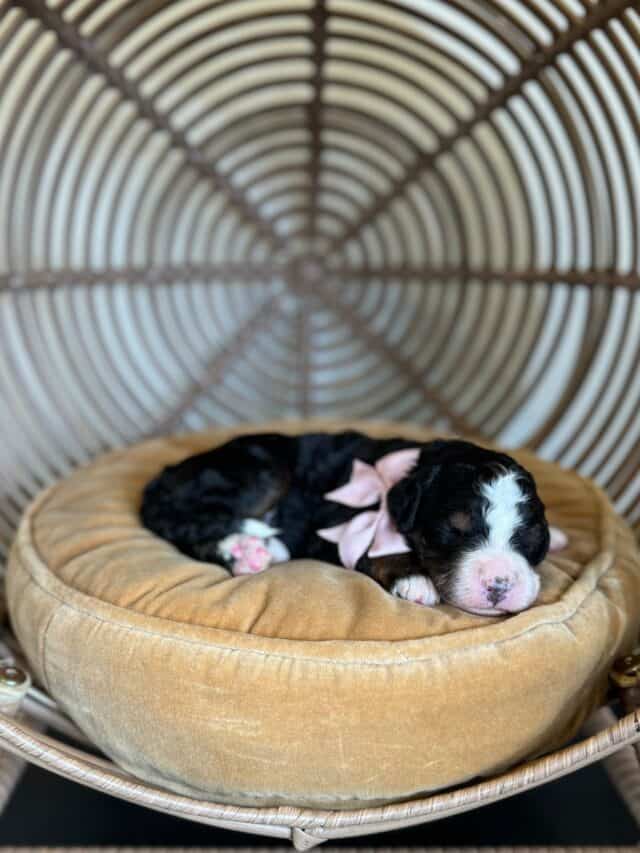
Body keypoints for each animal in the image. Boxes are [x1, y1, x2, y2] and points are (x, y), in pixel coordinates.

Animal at [140, 432, 564, 612]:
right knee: (185, 522)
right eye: (453, 530)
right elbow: (380, 555)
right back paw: (247, 551)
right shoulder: (338, 526)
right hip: (260, 469)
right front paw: (416, 581)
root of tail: (161, 477)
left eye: (530, 535)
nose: (499, 585)